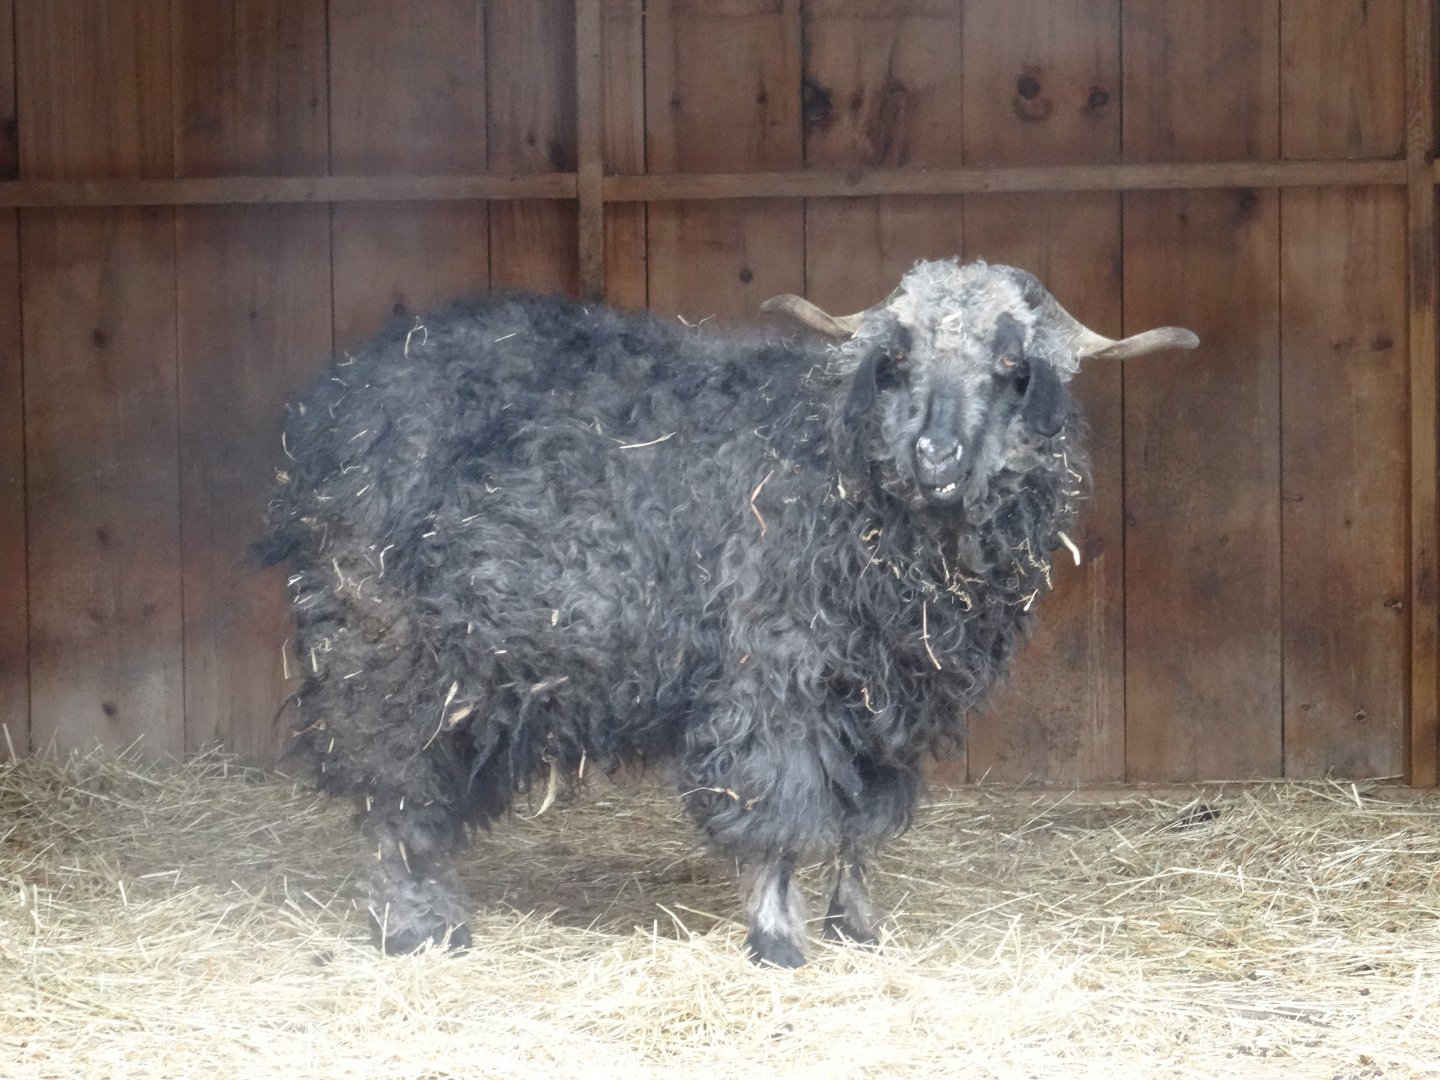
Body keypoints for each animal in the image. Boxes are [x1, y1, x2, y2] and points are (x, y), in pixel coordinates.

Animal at [258, 258, 1196, 966]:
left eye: (1011, 366)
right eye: (895, 360)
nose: (935, 454)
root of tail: (329, 411)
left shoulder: (888, 703)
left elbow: (862, 825)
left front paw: (858, 928)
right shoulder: (771, 679)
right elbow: (779, 812)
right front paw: (777, 939)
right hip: (381, 649)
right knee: (392, 790)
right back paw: (417, 926)